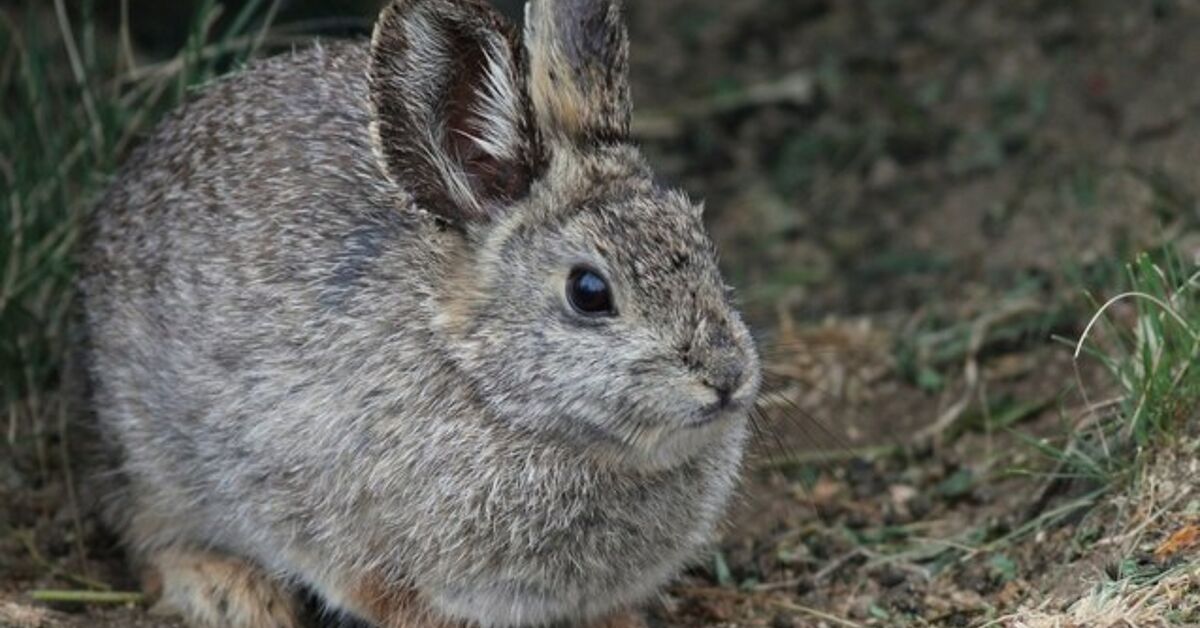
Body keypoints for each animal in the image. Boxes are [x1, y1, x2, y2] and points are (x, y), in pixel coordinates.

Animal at [79, 0, 761, 626]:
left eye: (700, 240)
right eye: (589, 291)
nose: (726, 376)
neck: (486, 387)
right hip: (148, 460)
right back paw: (229, 593)